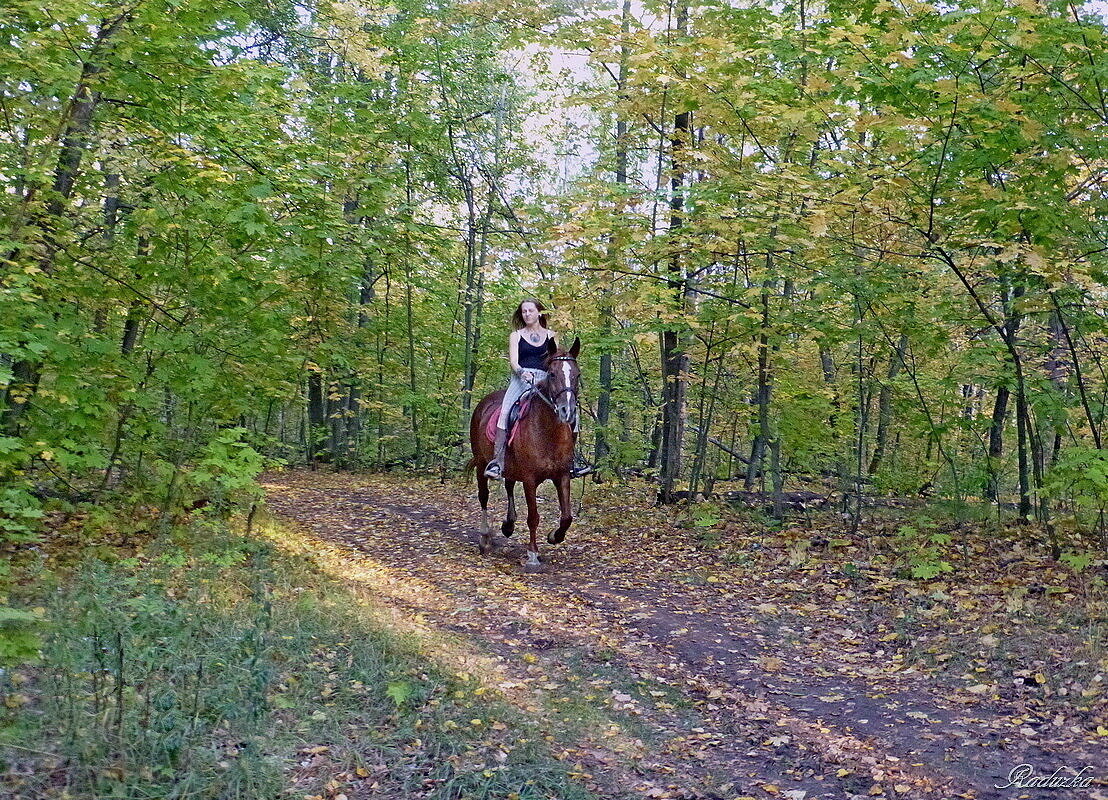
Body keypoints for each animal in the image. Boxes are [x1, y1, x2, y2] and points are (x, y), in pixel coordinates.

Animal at [467, 334, 585, 567]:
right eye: (552, 374)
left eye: (577, 374)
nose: (567, 411)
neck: (547, 432)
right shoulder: (530, 479)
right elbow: (533, 517)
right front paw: (532, 553)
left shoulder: (562, 475)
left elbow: (567, 516)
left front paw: (554, 536)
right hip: (481, 463)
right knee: (483, 496)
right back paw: (485, 538)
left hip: (510, 468)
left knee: (509, 485)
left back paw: (508, 525)